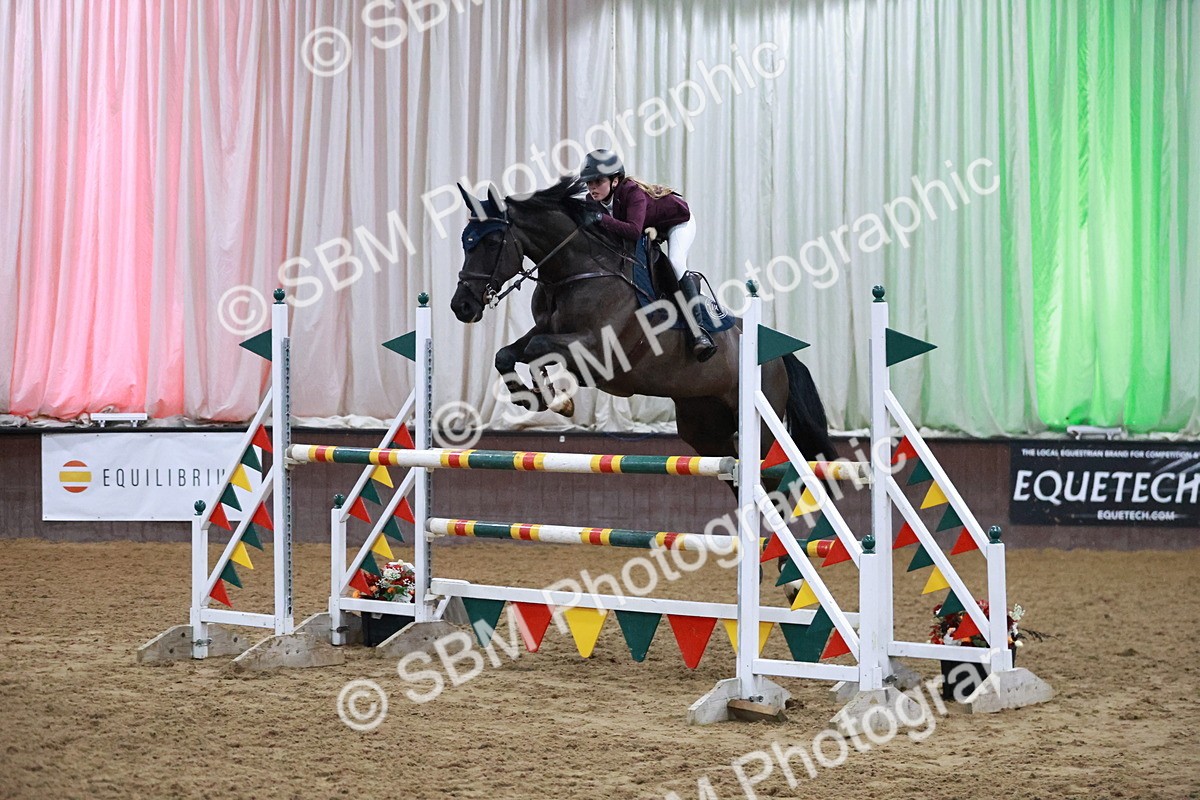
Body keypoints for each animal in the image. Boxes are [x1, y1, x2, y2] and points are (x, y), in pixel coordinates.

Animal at [450, 177, 837, 469]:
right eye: (465, 241)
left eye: (492, 241)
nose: (461, 306)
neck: (575, 271)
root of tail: (777, 357)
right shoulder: (550, 330)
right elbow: (509, 353)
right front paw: (538, 398)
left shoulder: (596, 350)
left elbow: (536, 348)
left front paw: (556, 400)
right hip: (706, 429)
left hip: (760, 428)